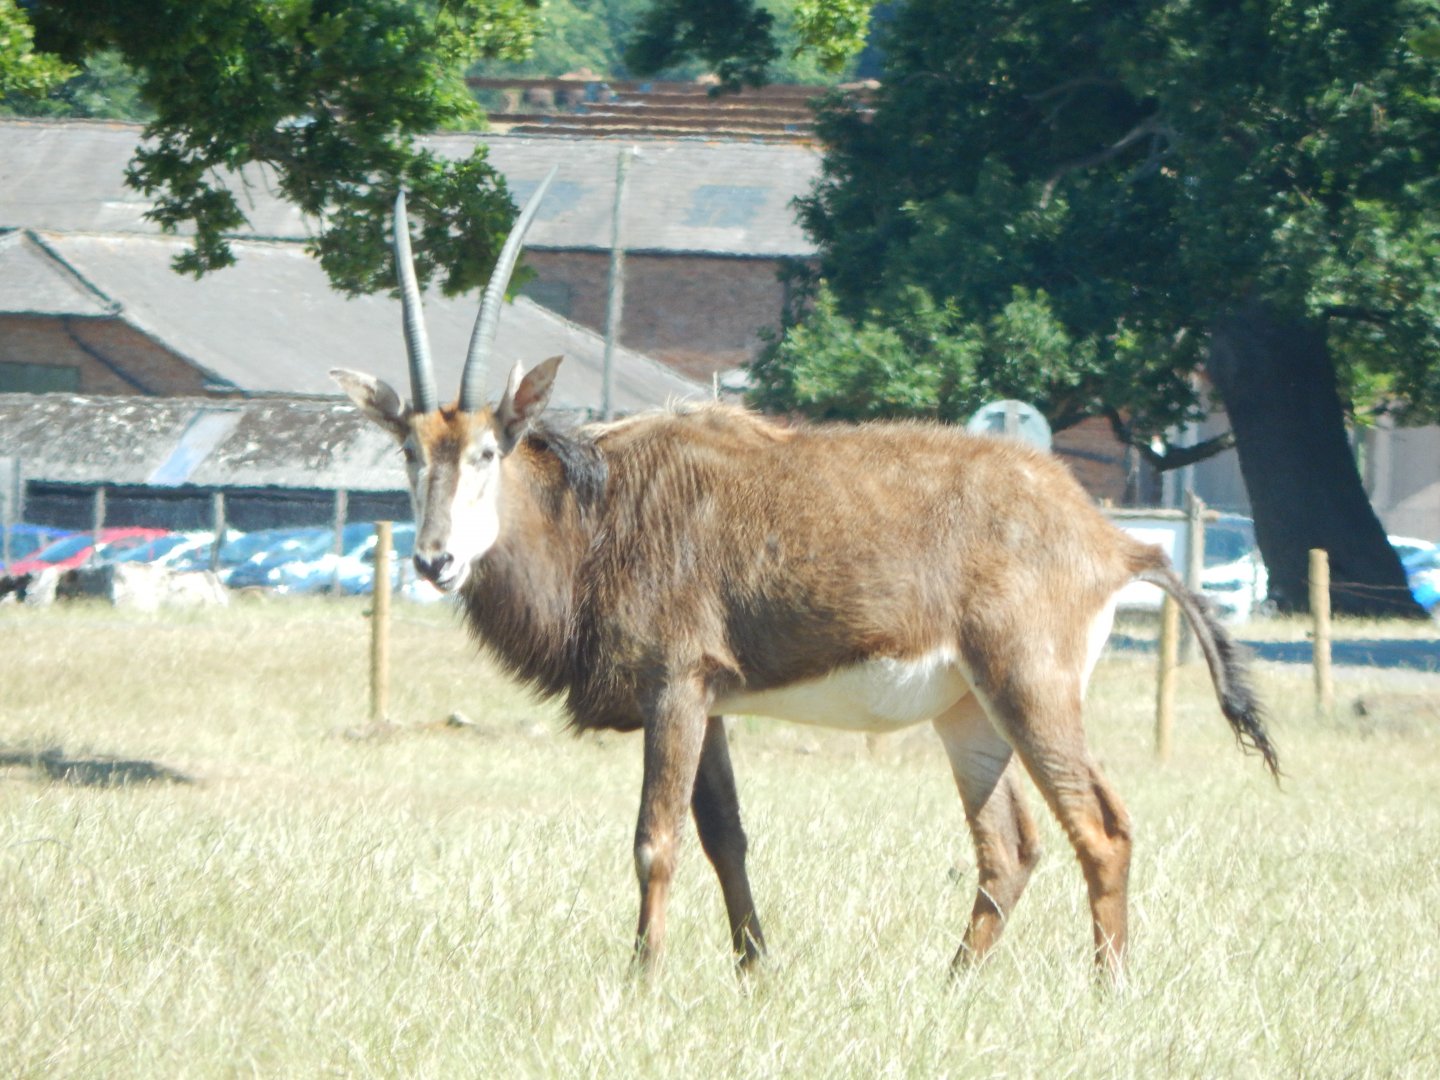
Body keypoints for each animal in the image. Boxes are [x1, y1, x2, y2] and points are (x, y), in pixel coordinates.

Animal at [331, 170, 1279, 978]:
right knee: (1009, 847)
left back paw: (1105, 989)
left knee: (1100, 830)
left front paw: (644, 981)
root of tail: (1114, 541)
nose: (436, 560)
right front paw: (755, 972)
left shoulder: (674, 688)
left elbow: (656, 840)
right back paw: (949, 989)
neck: (595, 508)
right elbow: (726, 837)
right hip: (969, 712)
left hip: (1030, 690)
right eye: (411, 451)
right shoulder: (707, 701)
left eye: (488, 451)